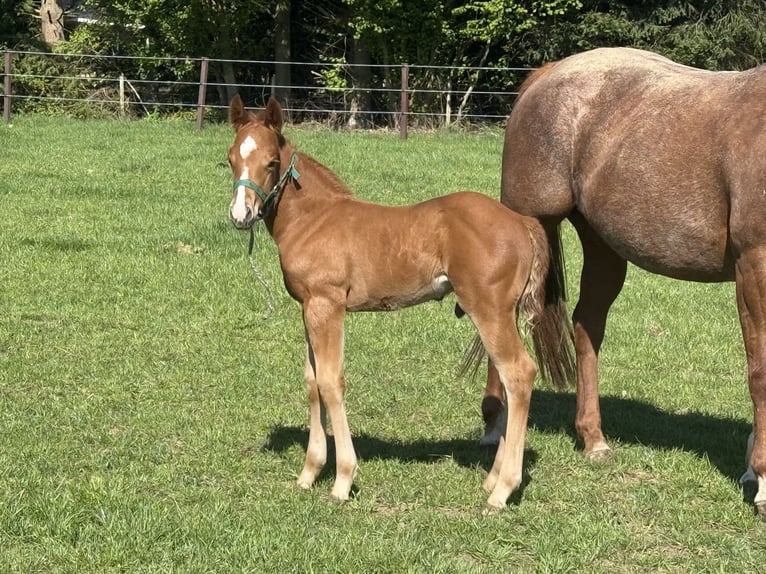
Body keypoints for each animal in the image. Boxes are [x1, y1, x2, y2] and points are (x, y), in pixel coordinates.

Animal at [225, 95, 574, 512]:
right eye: (230, 159)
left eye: (271, 162)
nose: (241, 215)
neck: (313, 218)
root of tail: (522, 222)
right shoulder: (308, 307)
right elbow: (312, 382)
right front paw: (309, 473)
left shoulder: (327, 305)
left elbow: (330, 382)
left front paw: (342, 480)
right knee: (508, 379)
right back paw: (491, 479)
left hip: (490, 311)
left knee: (519, 373)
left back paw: (503, 490)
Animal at [480, 46, 766, 517]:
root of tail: (549, 73)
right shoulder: (754, 265)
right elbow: (760, 371)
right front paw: (761, 481)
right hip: (531, 224)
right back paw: (493, 427)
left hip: (603, 247)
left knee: (586, 326)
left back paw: (593, 438)